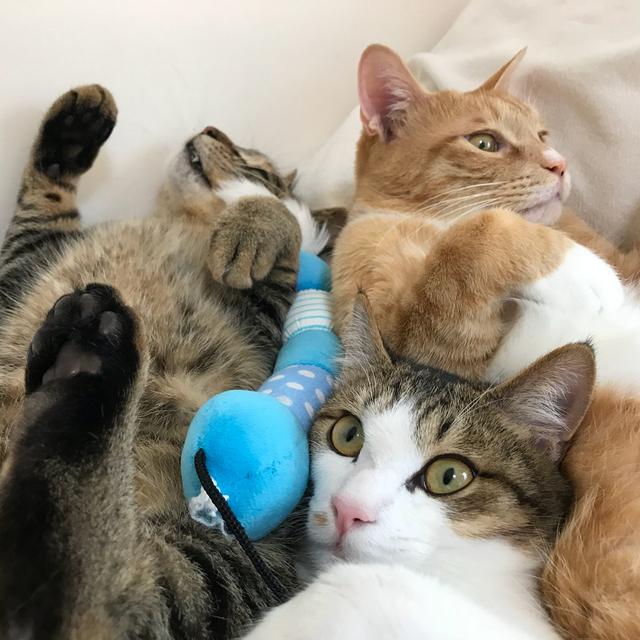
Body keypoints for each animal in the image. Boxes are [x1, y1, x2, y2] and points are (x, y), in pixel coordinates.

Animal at [0, 84, 327, 639]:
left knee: (93, 595)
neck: (179, 221)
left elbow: (283, 221)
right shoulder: (26, 259)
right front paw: (72, 132)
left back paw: (87, 368)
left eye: (251, 159)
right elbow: (43, 198)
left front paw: (252, 225)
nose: (211, 128)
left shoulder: (266, 320)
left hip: (209, 569)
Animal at [328, 44, 640, 639]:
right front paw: (580, 270)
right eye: (485, 142)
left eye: (542, 134)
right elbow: (476, 235)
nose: (560, 163)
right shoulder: (427, 345)